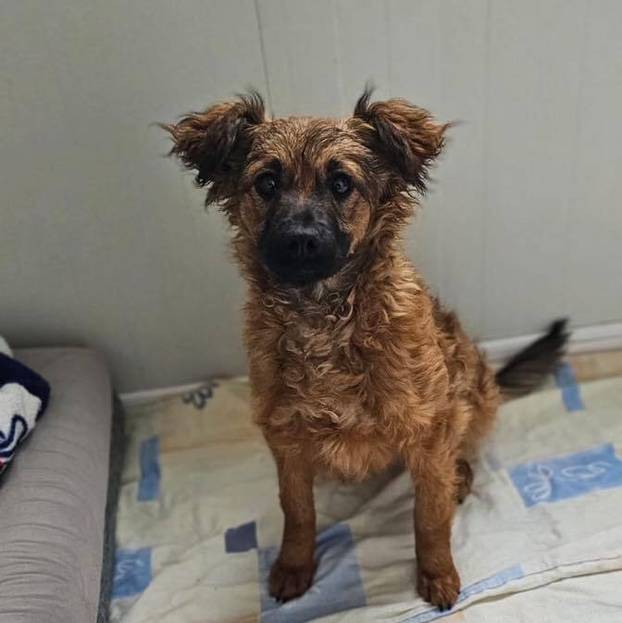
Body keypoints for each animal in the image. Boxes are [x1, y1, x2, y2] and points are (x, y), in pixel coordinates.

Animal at [164, 89, 567, 610]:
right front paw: (294, 567)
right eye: (266, 182)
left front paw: (437, 573)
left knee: (465, 442)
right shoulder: (285, 437)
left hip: (469, 385)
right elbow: (297, 511)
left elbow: (429, 516)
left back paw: (459, 474)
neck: (323, 320)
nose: (299, 242)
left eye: (341, 184)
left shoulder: (429, 426)